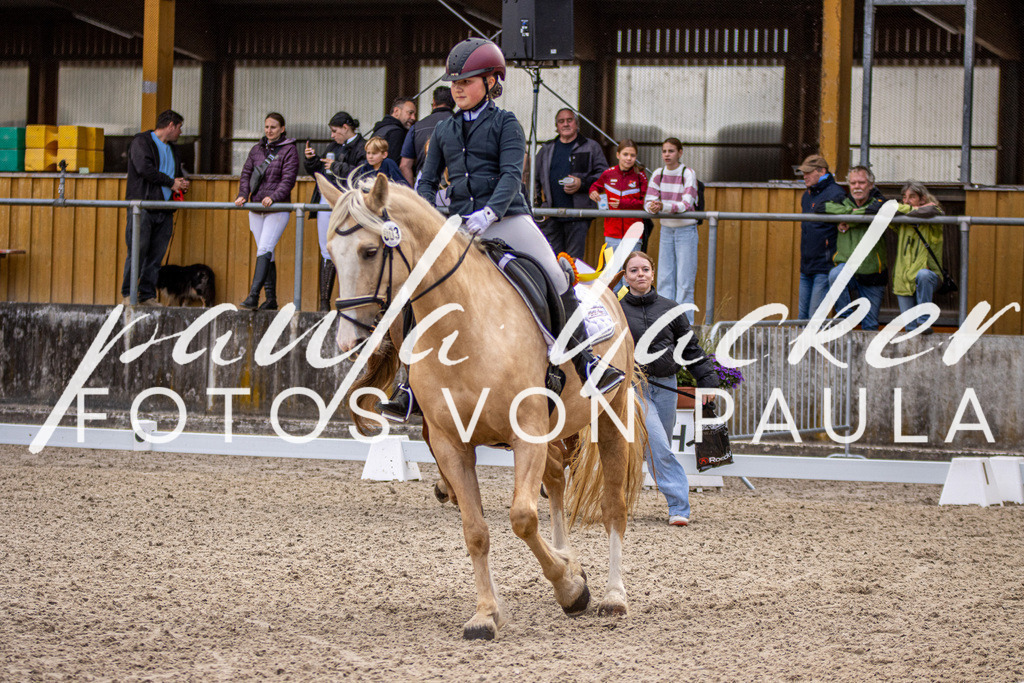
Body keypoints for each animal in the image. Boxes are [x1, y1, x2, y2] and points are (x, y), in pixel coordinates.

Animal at [316, 173, 648, 640]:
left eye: (369, 251)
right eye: (331, 253)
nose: (350, 341)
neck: (463, 327)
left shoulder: (526, 433)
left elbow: (522, 517)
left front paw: (570, 591)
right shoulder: (451, 443)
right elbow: (475, 530)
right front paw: (487, 614)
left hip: (610, 417)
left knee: (613, 505)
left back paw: (613, 596)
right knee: (556, 481)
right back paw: (570, 560)